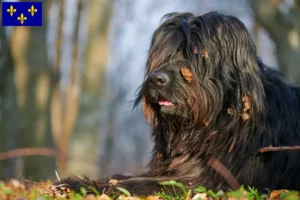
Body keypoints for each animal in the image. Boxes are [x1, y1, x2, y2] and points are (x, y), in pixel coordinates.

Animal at [58, 11, 300, 196]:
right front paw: (81, 182)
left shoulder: (220, 181)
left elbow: (153, 183)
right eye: (163, 55)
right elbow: (123, 176)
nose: (156, 79)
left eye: (195, 54)